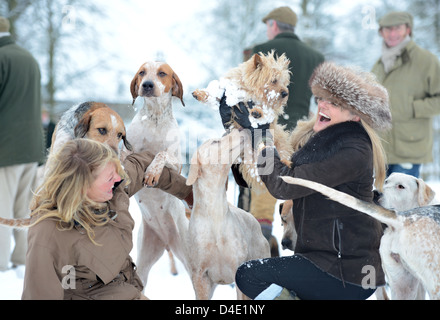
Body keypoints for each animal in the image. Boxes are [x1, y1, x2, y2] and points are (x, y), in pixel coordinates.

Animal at [125, 61, 191, 288]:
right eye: (142, 72)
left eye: (162, 73)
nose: (147, 84)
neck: (154, 118)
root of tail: (166, 241)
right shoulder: (128, 151)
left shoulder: (176, 165)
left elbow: (160, 154)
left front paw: (152, 172)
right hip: (143, 264)